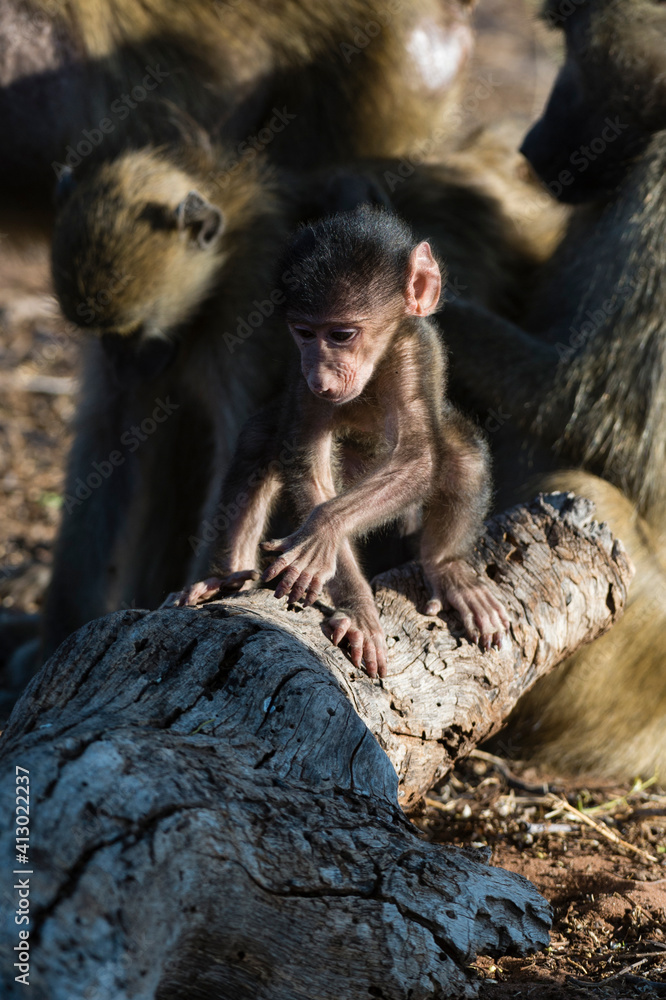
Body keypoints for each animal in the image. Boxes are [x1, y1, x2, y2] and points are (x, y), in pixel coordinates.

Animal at [167, 207, 510, 678]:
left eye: (342, 334)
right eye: (305, 333)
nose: (323, 375)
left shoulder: (411, 352)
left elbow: (418, 459)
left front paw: (321, 532)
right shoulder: (301, 376)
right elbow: (305, 464)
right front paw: (359, 608)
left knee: (462, 454)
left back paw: (449, 569)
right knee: (259, 439)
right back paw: (226, 579)